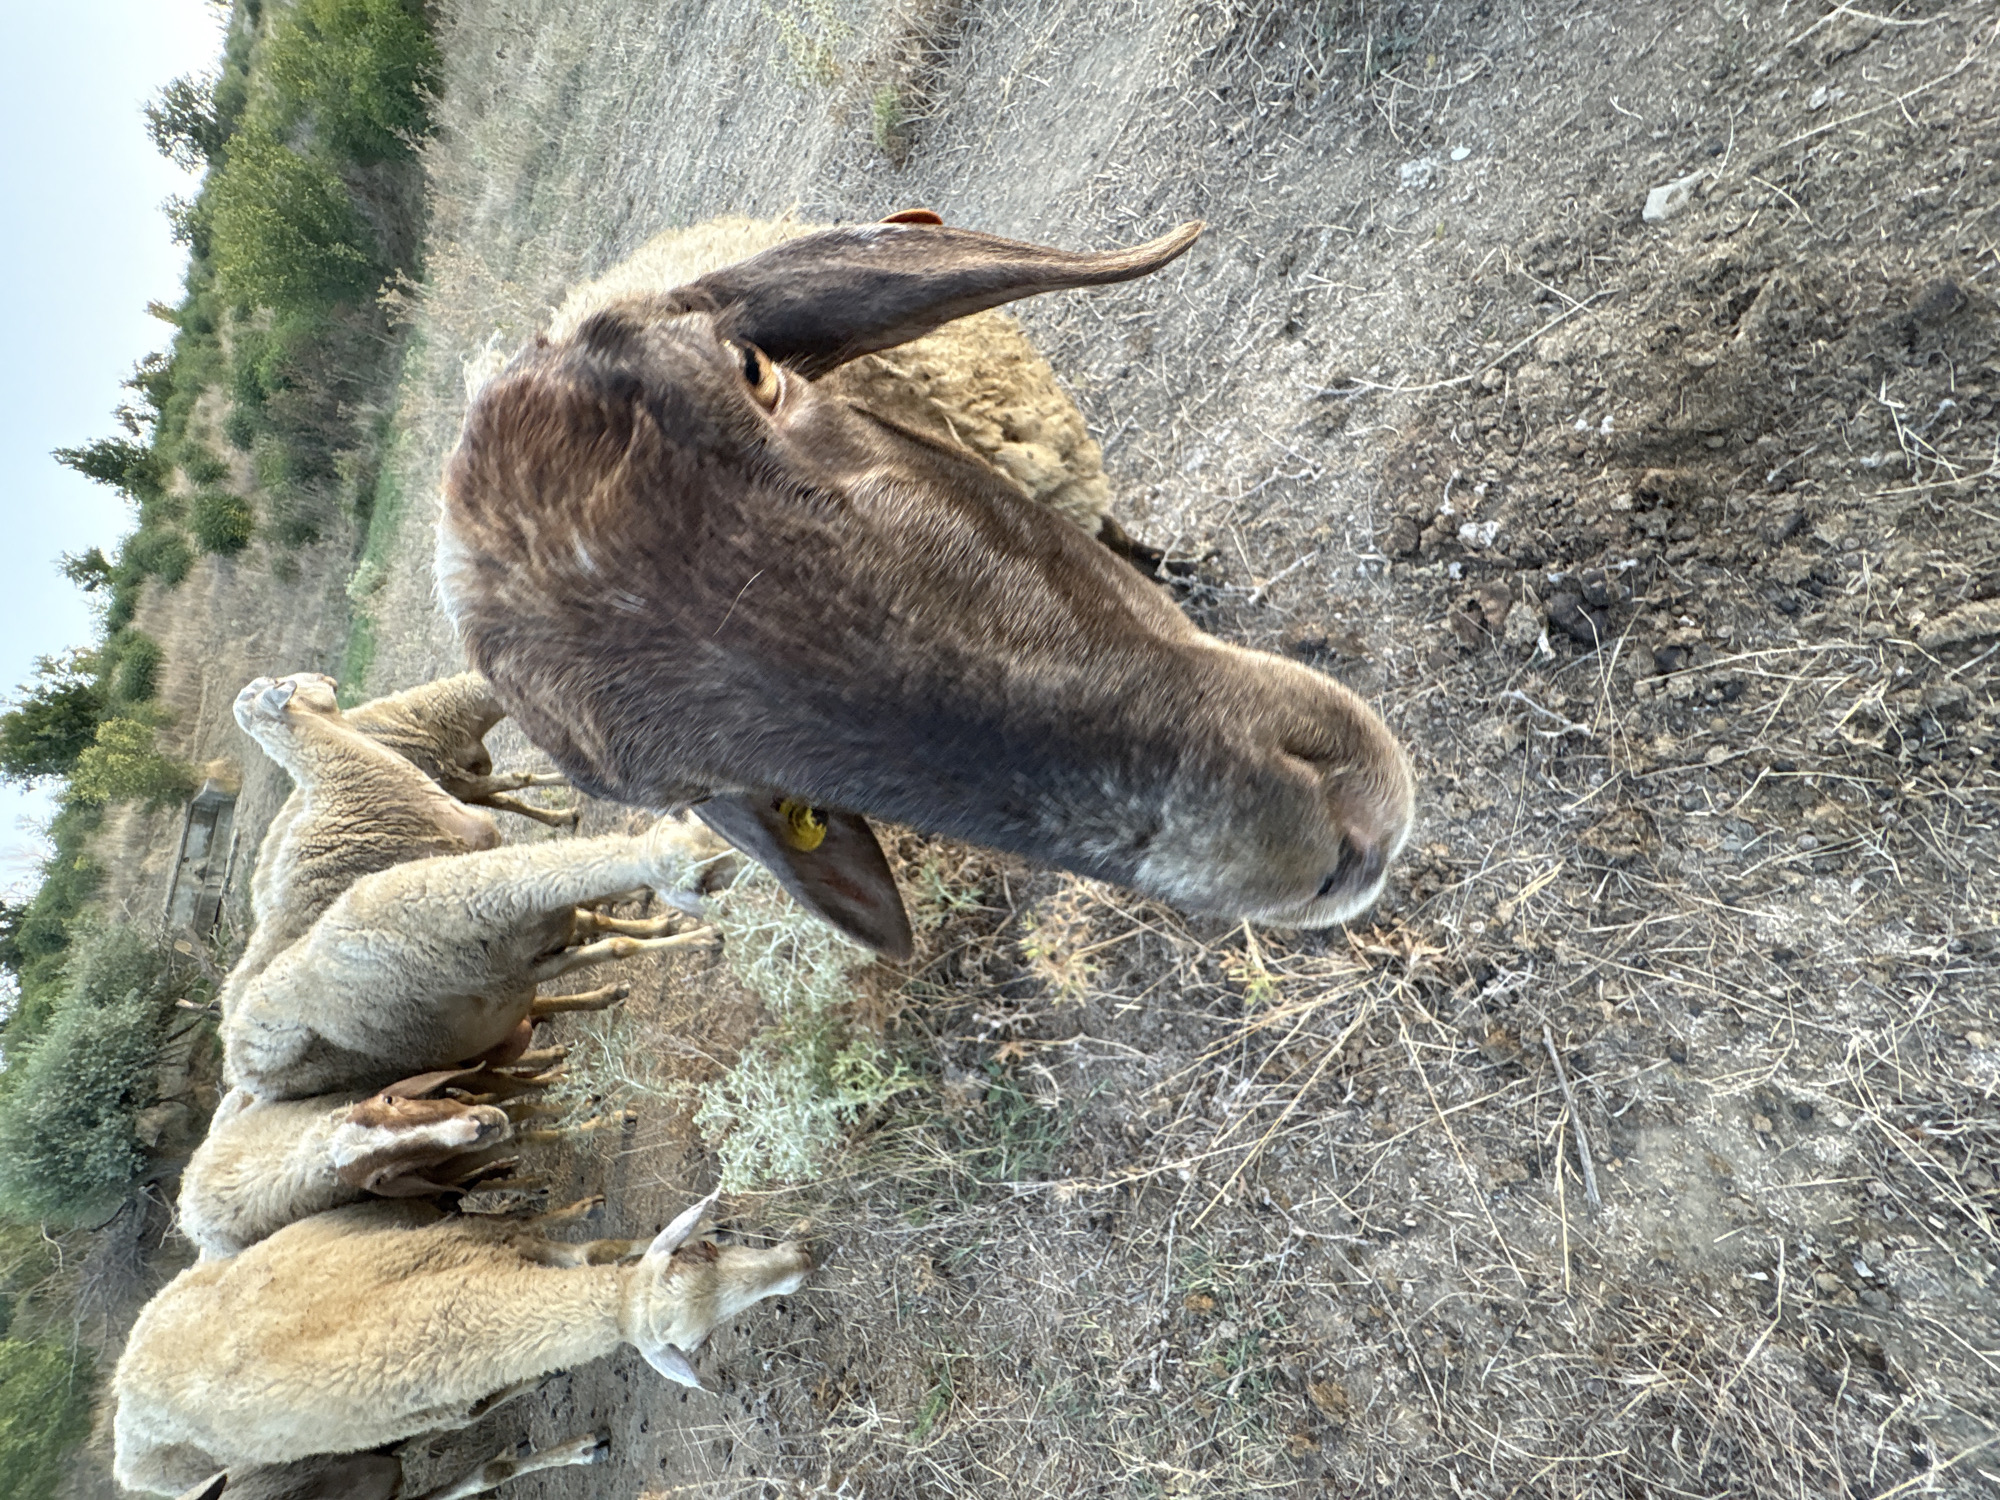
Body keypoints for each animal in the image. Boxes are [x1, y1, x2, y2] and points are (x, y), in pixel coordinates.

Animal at [113, 1195, 810, 1493]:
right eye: (699, 1337)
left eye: (704, 1254)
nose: (802, 1261)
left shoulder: (501, 1245)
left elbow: (595, 1253)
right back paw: (569, 1445)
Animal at [221, 816, 721, 1100]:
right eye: (698, 874)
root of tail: (235, 1058)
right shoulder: (523, 971)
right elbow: (617, 946)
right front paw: (701, 939)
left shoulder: (540, 952)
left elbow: (608, 934)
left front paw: (663, 929)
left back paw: (594, 1008)